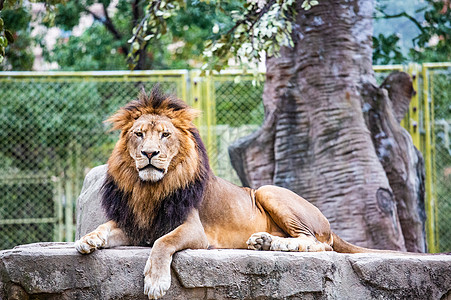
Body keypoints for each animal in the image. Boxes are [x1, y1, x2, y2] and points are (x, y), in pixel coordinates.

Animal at [74, 86, 388, 298]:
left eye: (165, 135)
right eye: (138, 134)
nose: (149, 153)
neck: (149, 188)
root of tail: (328, 224)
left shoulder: (193, 230)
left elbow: (163, 242)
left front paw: (155, 281)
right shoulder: (136, 225)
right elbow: (105, 227)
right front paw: (88, 239)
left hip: (268, 191)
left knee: (319, 244)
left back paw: (282, 245)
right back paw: (264, 241)